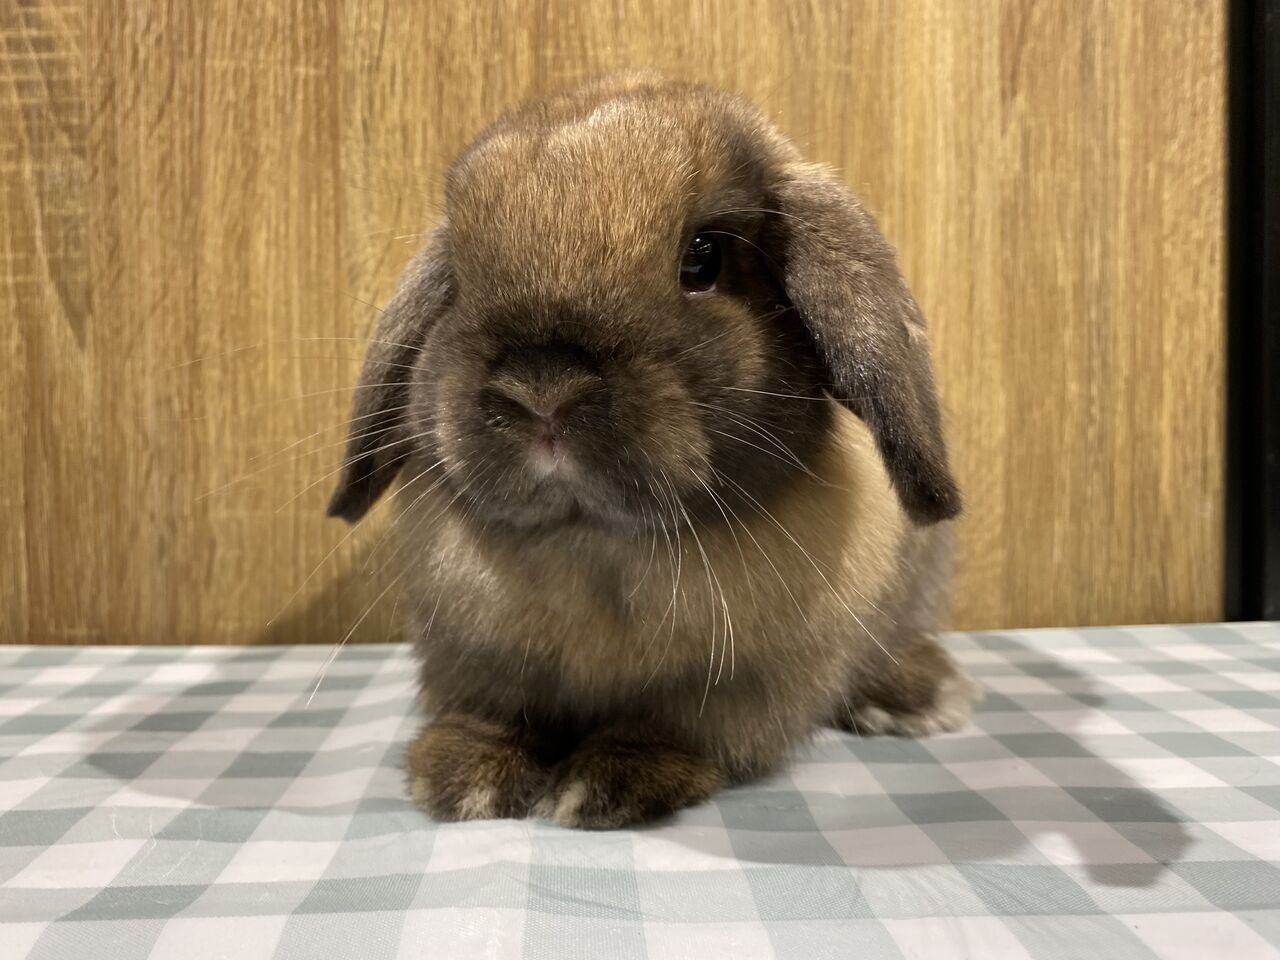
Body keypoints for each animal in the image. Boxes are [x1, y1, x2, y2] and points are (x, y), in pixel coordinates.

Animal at [327, 70, 980, 829]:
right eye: (459, 277)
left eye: (704, 256)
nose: (542, 389)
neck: (592, 544)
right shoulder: (471, 659)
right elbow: (493, 714)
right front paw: (462, 777)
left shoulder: (738, 685)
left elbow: (669, 726)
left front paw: (609, 784)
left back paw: (917, 696)